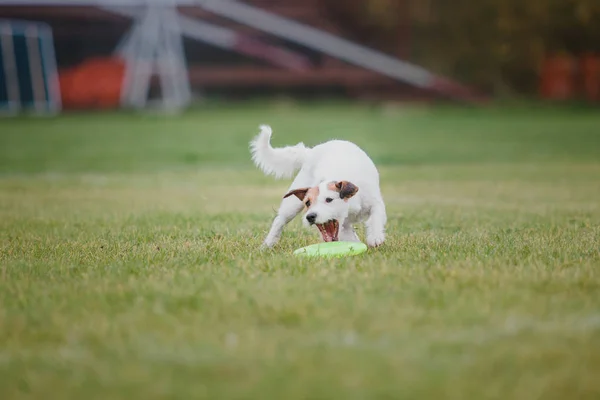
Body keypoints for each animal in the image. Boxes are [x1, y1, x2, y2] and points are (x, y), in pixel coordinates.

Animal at [250, 125, 386, 248]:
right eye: (307, 203)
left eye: (329, 199)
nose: (310, 216)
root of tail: (309, 152)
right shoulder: (344, 225)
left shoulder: (375, 202)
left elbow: (376, 217)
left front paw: (375, 238)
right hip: (292, 204)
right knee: (279, 220)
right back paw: (268, 244)